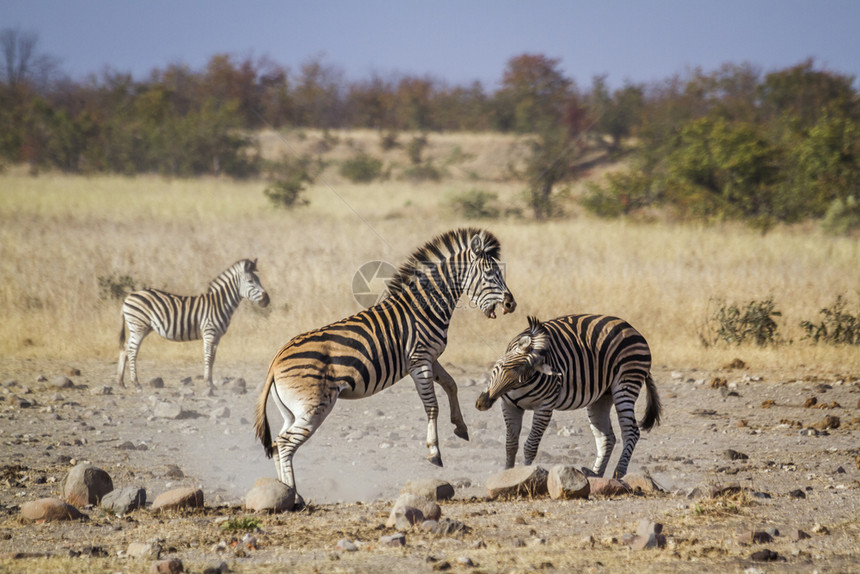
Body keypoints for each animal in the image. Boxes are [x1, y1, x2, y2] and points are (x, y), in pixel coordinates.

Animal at [115, 260, 268, 396]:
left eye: (258, 280)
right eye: (250, 281)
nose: (267, 299)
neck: (220, 304)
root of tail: (128, 297)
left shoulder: (217, 336)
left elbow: (213, 358)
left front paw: (211, 383)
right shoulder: (209, 332)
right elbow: (208, 357)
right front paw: (208, 383)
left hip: (141, 328)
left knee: (125, 349)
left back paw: (121, 383)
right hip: (139, 327)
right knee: (132, 351)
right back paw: (136, 384)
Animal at [252, 230, 512, 504]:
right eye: (490, 273)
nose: (511, 304)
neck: (426, 306)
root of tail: (276, 360)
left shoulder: (431, 357)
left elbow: (452, 385)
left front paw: (460, 427)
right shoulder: (419, 360)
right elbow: (432, 406)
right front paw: (434, 451)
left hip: (293, 410)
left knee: (277, 444)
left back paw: (289, 495)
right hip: (314, 406)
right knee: (284, 443)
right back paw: (292, 496)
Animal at [474, 316, 660, 482]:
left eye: (521, 379)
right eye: (501, 367)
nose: (482, 403)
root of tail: (632, 329)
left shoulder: (544, 408)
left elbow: (530, 446)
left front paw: (526, 475)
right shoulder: (509, 406)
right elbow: (511, 445)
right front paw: (507, 475)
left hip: (626, 384)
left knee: (631, 431)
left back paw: (619, 474)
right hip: (601, 397)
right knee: (607, 437)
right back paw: (596, 474)